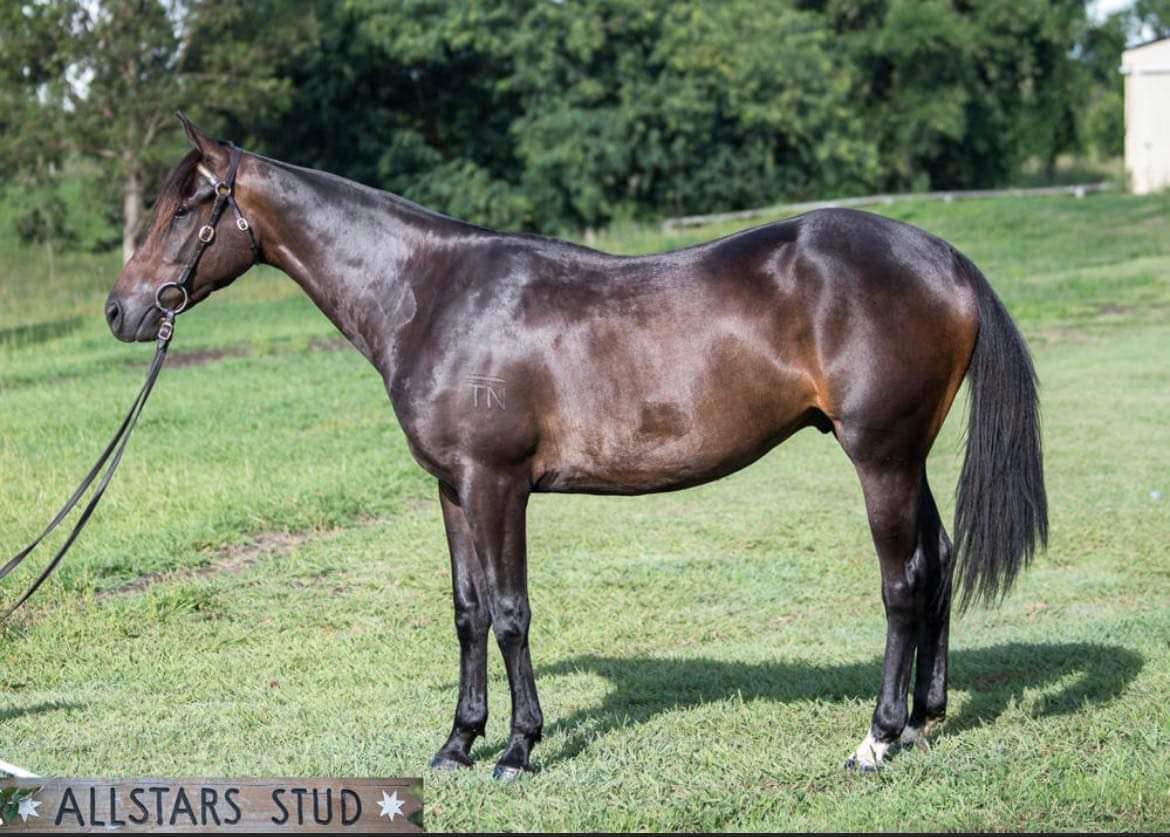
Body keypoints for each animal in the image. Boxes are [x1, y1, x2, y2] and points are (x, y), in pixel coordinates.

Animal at [105, 114, 1047, 780]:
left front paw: (518, 749)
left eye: (190, 203)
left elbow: (511, 612)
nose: (122, 311)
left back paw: (877, 738)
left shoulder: (497, 483)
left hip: (881, 456)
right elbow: (467, 611)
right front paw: (457, 743)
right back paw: (924, 719)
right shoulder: (452, 488)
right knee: (937, 560)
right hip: (907, 456)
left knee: (902, 581)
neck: (433, 295)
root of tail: (943, 256)